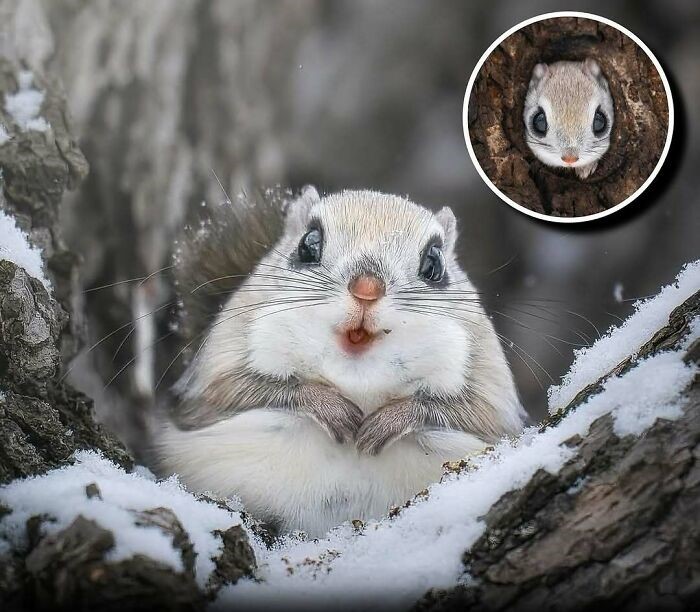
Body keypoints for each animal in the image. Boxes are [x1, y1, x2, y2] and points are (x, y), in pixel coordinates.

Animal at [155, 187, 525, 537]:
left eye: (434, 264)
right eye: (308, 245)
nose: (367, 289)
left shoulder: (492, 403)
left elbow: (466, 413)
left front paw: (389, 421)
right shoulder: (211, 385)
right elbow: (247, 390)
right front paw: (328, 407)